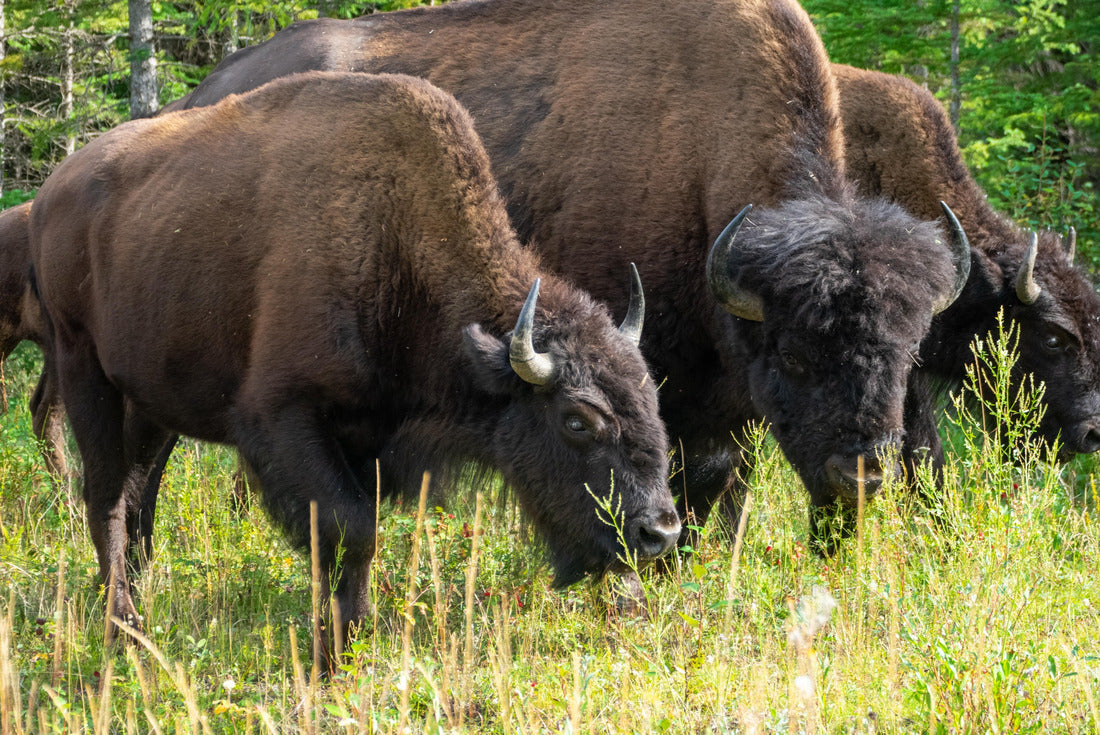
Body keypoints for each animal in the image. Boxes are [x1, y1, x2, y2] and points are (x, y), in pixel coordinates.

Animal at [29, 71, 680, 646]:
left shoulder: (368, 438)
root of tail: (48, 195)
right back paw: (122, 626)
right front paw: (338, 648)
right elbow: (352, 532)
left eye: (652, 401)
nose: (660, 532)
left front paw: (349, 638)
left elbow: (352, 542)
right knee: (105, 496)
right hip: (82, 368)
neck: (397, 242)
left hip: (152, 401)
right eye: (577, 420)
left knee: (139, 495)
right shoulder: (282, 419)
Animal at [165, 0, 970, 547]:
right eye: (797, 354)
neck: (700, 156)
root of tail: (204, 91)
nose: (862, 473)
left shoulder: (725, 405)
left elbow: (724, 489)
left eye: (907, 355)